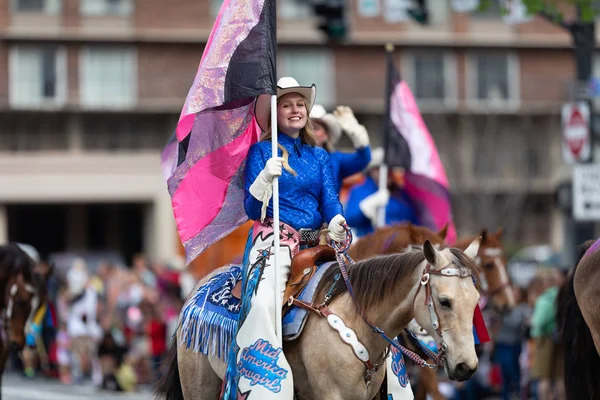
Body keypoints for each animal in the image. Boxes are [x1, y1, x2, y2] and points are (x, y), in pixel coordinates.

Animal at [156, 239, 482, 398]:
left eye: (476, 300)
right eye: (445, 301)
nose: (466, 366)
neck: (357, 321)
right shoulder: (331, 394)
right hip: (199, 385)